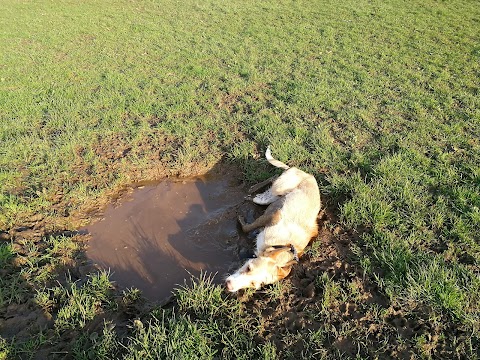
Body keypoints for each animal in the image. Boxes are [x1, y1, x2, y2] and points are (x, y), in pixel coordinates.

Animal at [224, 147, 320, 292]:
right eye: (248, 268)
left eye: (254, 285)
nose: (229, 286)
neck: (282, 244)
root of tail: (306, 173)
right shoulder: (274, 215)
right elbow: (247, 227)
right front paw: (241, 219)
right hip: (278, 189)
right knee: (273, 180)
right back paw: (253, 189)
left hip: (272, 196)